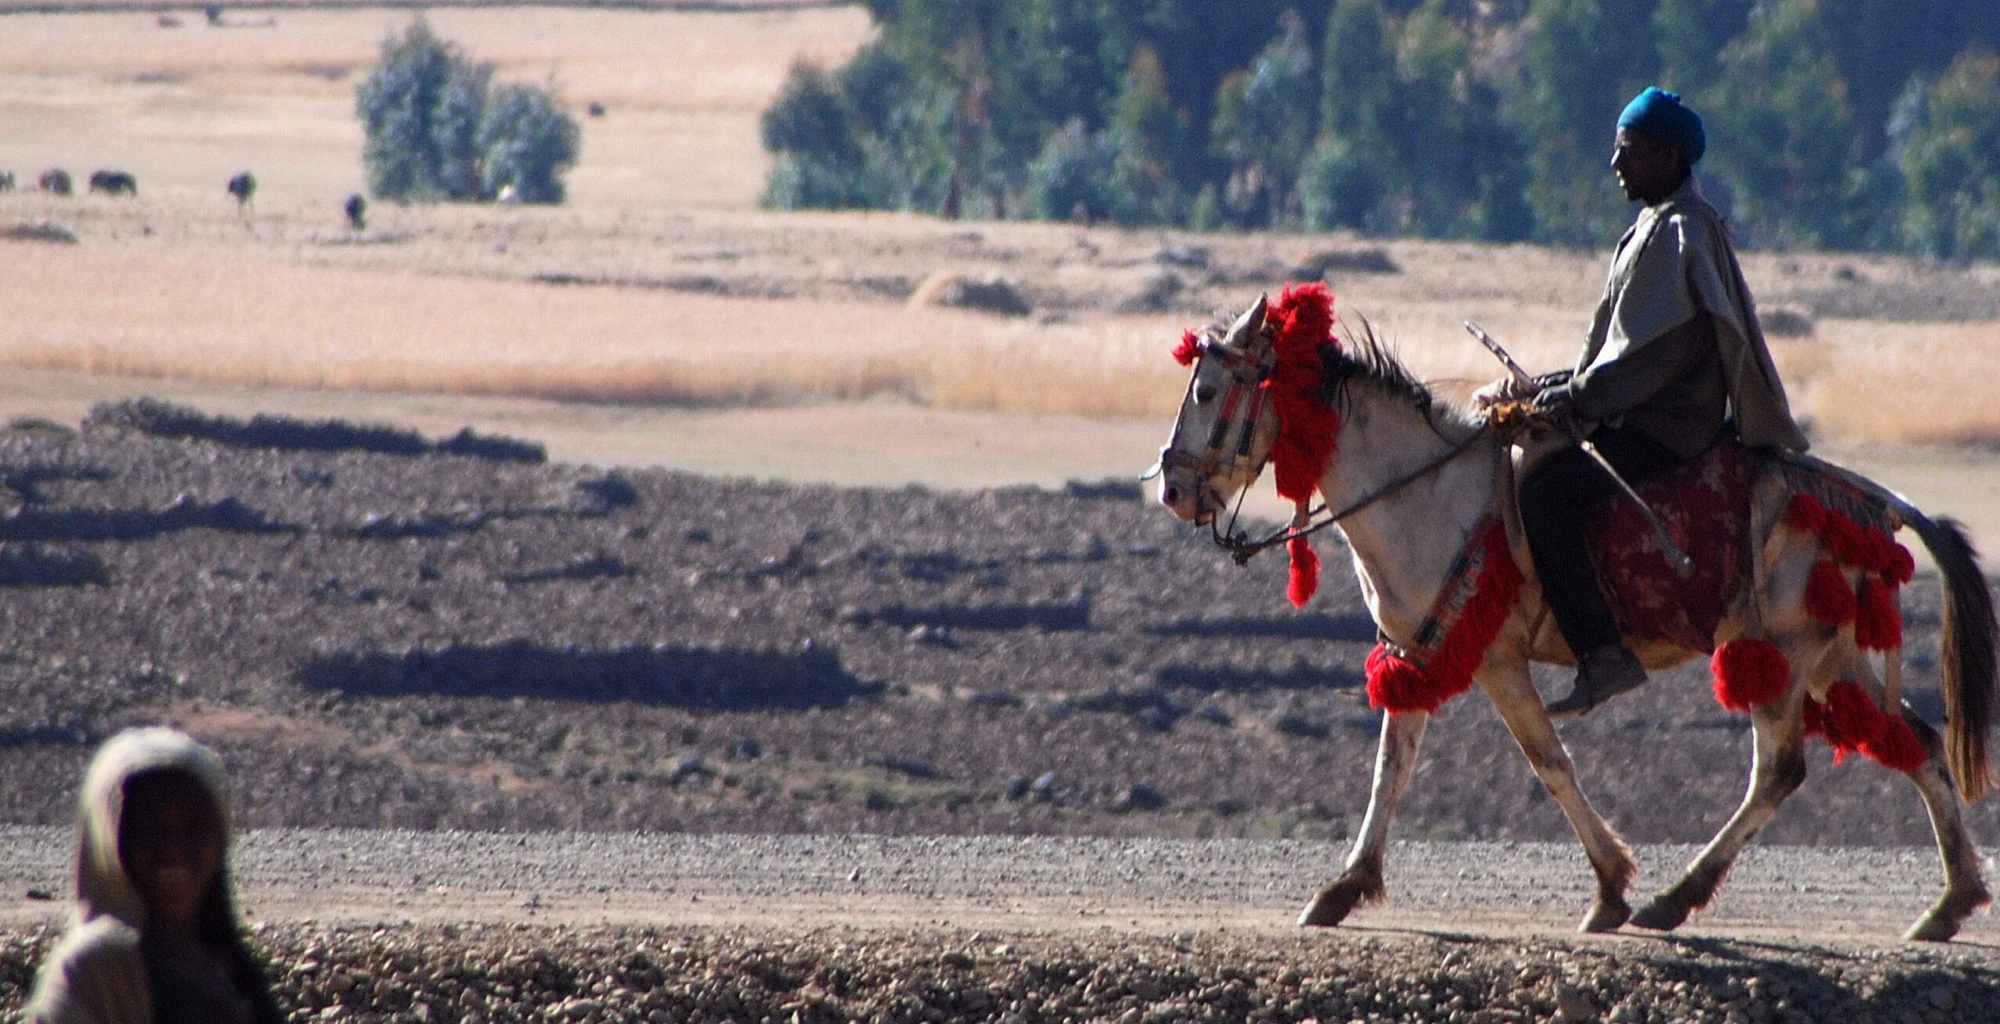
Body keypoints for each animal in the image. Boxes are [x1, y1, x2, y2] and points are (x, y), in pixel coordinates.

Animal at [1152, 286, 1995, 941]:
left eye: (1205, 393)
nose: (1172, 489)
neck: (1424, 490)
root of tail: (1876, 502)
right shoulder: (1418, 649)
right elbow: (1391, 768)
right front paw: (1343, 888)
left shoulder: (1496, 661)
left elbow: (1549, 762)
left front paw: (1614, 886)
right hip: (1830, 654)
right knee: (1915, 744)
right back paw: (1950, 903)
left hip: (1784, 652)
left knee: (1780, 769)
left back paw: (1674, 898)